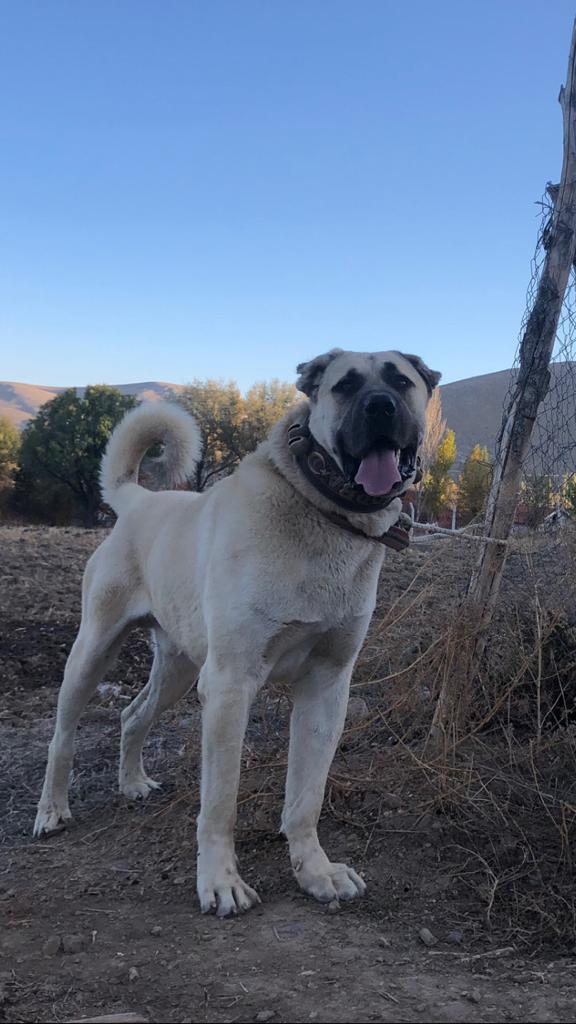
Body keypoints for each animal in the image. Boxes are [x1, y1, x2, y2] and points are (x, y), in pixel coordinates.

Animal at [34, 348, 438, 917]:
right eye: (345, 385)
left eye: (401, 382)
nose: (379, 407)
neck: (320, 512)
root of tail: (138, 500)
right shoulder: (229, 685)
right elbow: (221, 802)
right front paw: (220, 883)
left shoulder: (327, 687)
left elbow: (306, 798)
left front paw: (315, 872)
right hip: (94, 651)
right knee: (62, 736)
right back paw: (51, 811)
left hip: (179, 668)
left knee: (132, 714)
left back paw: (133, 782)